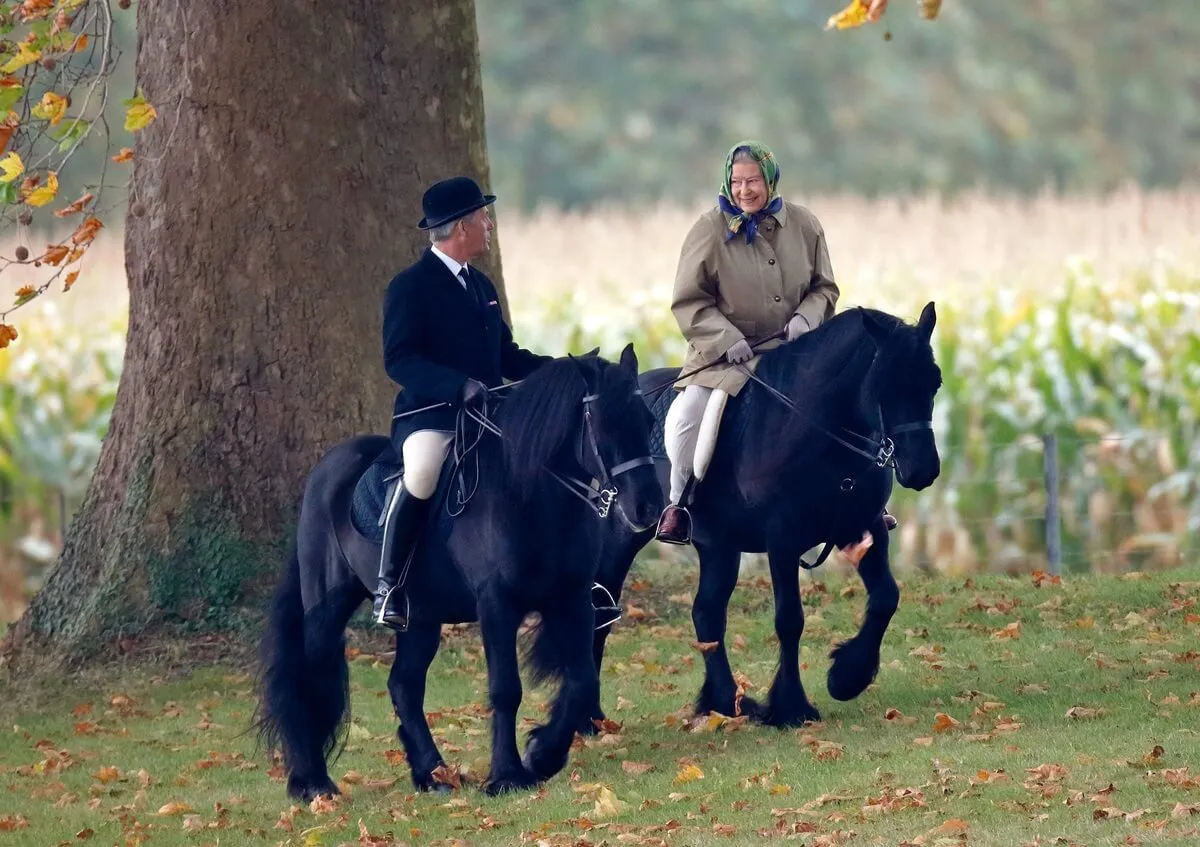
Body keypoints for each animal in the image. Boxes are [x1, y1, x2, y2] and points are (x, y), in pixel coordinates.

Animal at [256, 345, 662, 796]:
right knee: (311, 675)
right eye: (603, 425)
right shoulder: (497, 603)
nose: (648, 507)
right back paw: (313, 783)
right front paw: (507, 775)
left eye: (648, 421)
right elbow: (506, 689)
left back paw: (432, 775)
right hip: (328, 606)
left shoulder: (571, 599)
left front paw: (542, 755)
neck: (530, 495)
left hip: (421, 616)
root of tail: (325, 469)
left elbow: (582, 679)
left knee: (404, 685)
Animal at [585, 302, 940, 724]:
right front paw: (792, 706)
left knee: (706, 613)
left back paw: (723, 702)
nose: (922, 470)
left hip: (719, 546)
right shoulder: (782, 540)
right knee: (601, 609)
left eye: (934, 383)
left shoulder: (866, 527)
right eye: (884, 384)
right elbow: (789, 620)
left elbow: (886, 596)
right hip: (621, 536)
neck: (815, 429)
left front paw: (846, 677)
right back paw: (590, 716)